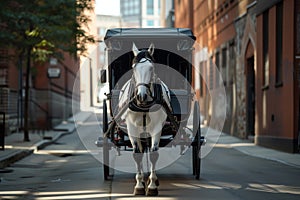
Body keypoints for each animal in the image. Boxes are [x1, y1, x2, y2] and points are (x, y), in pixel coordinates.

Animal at [119, 43, 171, 195]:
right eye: (133, 67)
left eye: (151, 68)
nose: (141, 95)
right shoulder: (132, 129)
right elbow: (137, 154)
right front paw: (139, 185)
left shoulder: (157, 128)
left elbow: (154, 154)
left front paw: (152, 185)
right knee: (141, 151)